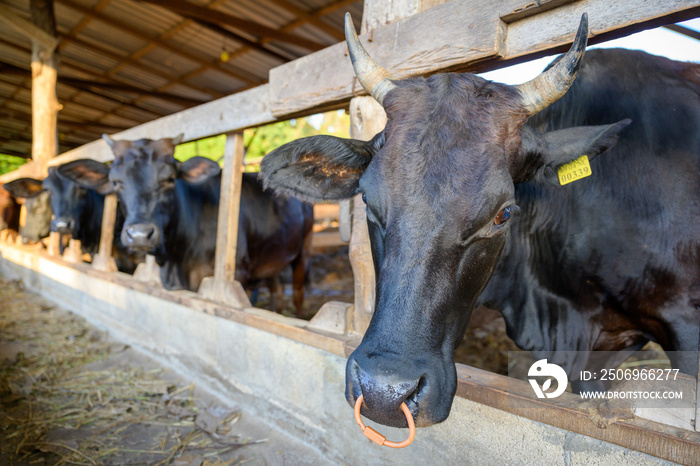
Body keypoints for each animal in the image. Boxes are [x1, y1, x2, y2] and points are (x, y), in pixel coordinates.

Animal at [58, 136, 314, 316]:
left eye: (169, 180)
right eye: (115, 182)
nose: (140, 235)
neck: (177, 259)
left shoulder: (236, 274)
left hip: (303, 251)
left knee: (298, 292)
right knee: (277, 291)